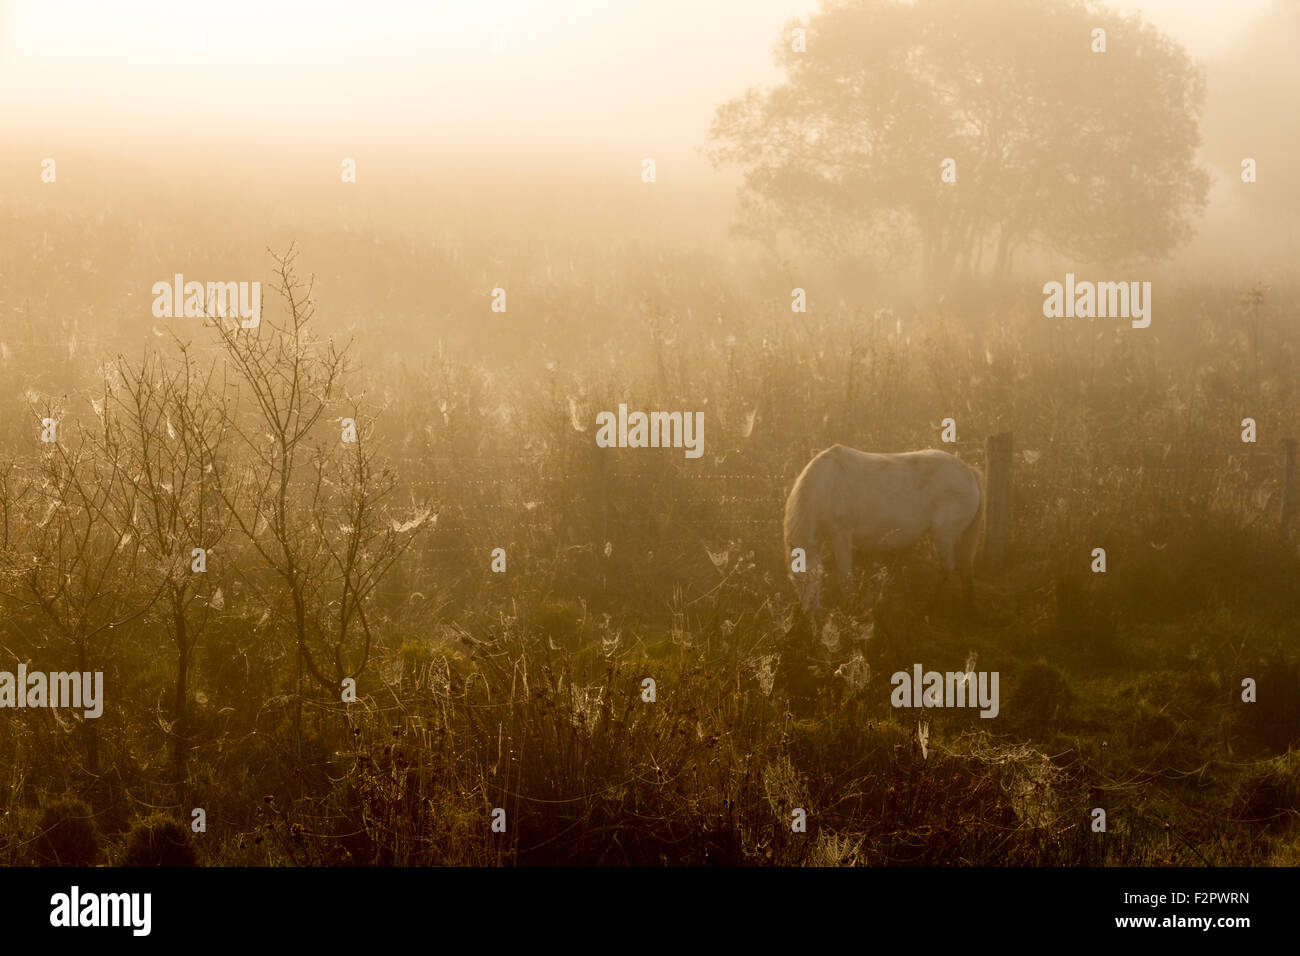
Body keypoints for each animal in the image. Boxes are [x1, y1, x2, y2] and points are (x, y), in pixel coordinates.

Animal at [780, 442, 982, 608]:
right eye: (795, 581)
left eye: (813, 580)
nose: (810, 616)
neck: (825, 485)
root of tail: (969, 471)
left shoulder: (841, 535)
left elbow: (845, 577)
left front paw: (848, 607)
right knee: (965, 569)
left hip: (943, 536)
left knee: (948, 567)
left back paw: (929, 602)